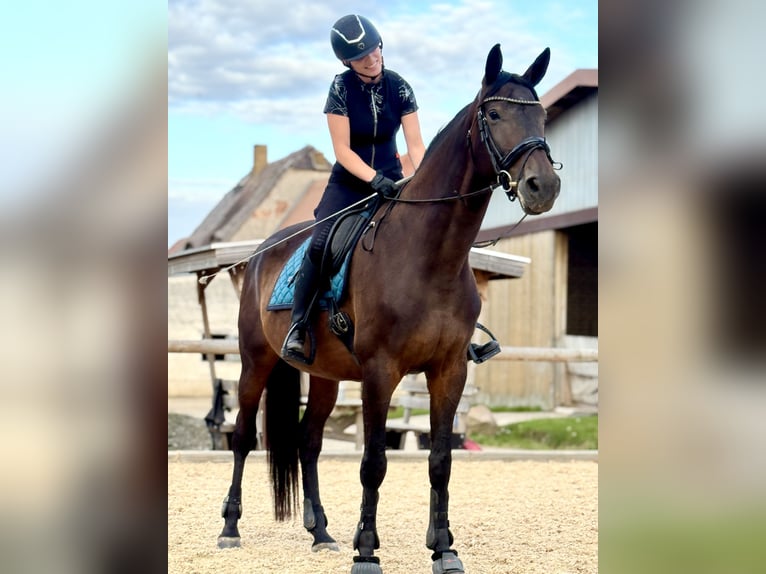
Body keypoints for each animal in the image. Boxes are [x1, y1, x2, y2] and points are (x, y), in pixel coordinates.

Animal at [218, 44, 561, 574]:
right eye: (494, 114)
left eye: (540, 115)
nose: (543, 186)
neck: (430, 254)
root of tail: (259, 254)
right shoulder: (381, 372)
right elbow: (373, 463)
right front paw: (367, 551)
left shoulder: (449, 371)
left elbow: (440, 460)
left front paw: (444, 549)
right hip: (256, 362)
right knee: (241, 436)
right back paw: (231, 528)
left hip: (325, 375)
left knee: (308, 441)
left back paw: (321, 533)